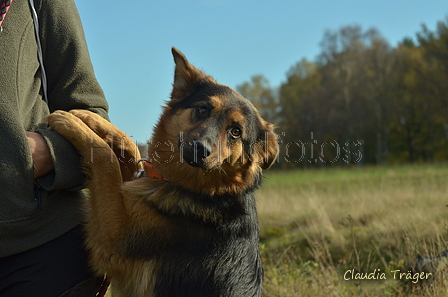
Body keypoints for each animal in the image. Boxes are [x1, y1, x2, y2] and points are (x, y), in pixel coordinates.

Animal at [47, 47, 278, 294]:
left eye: (235, 132)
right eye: (202, 110)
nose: (200, 149)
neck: (207, 191)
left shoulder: (116, 238)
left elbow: (106, 160)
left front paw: (69, 122)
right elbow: (128, 147)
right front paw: (87, 117)